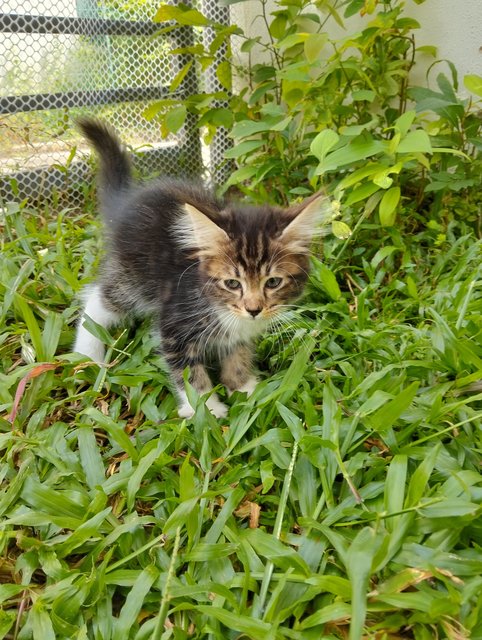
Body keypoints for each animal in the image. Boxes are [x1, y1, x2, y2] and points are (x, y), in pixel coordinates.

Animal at [73, 117, 328, 418]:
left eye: (273, 282)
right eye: (232, 283)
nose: (254, 310)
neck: (217, 305)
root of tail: (126, 201)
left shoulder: (240, 331)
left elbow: (238, 353)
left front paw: (244, 389)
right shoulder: (174, 323)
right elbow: (188, 372)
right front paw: (206, 409)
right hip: (133, 274)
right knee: (99, 298)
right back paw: (87, 353)